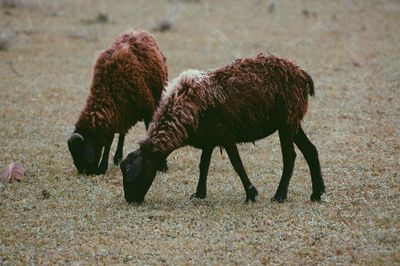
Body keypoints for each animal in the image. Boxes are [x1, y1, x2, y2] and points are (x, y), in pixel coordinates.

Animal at [68, 30, 168, 176]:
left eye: (81, 153)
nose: (86, 173)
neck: (109, 86)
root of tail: (137, 31)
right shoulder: (116, 112)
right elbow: (109, 141)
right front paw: (103, 167)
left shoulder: (148, 110)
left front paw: (161, 165)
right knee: (122, 133)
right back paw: (117, 157)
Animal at [121, 54, 324, 204]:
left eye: (130, 172)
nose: (130, 200)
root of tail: (301, 73)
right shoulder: (209, 139)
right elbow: (203, 165)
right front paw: (199, 194)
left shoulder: (225, 135)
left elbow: (237, 164)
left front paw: (251, 194)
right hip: (292, 122)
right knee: (310, 150)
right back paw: (317, 193)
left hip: (286, 122)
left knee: (290, 156)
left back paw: (280, 195)